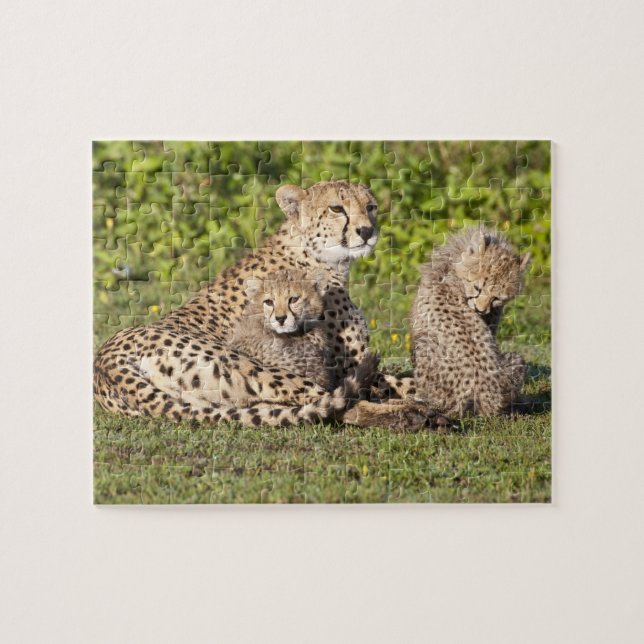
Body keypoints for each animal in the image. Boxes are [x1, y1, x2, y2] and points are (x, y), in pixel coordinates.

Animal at [94, 179, 447, 430]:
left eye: (371, 206)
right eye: (337, 209)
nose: (367, 231)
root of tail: (106, 361)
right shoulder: (341, 364)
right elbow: (389, 382)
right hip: (253, 366)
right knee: (336, 403)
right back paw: (417, 416)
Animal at [410, 227, 531, 417]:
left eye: (497, 298)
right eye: (477, 288)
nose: (481, 310)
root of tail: (485, 396)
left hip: (425, 345)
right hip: (515, 360)